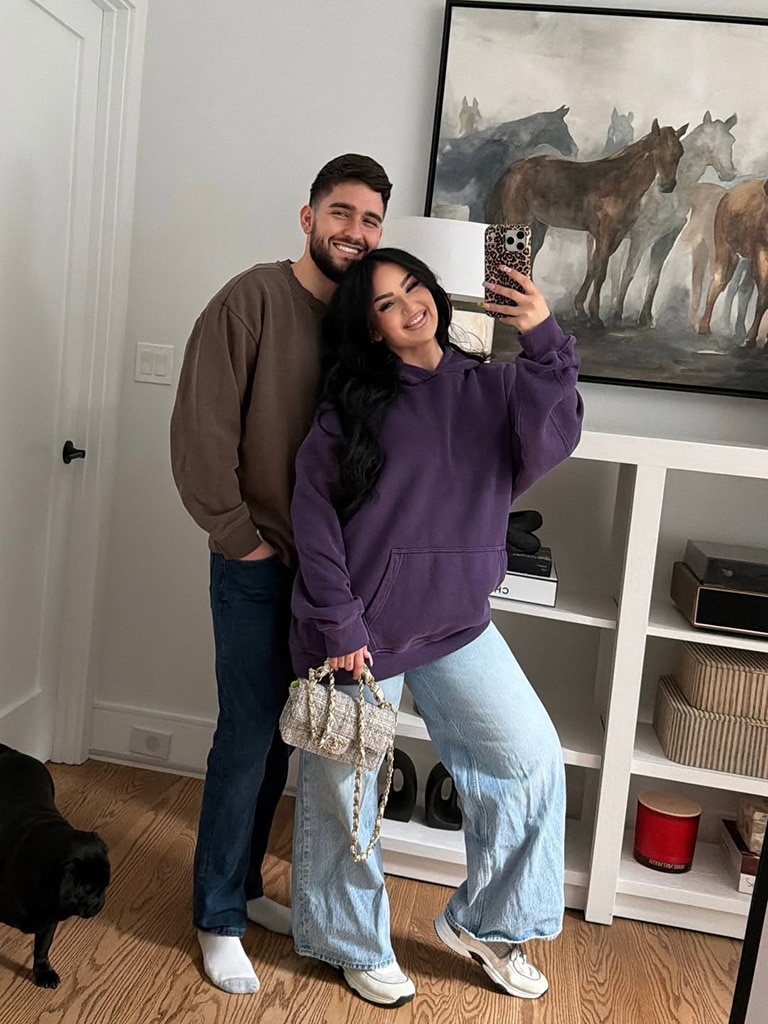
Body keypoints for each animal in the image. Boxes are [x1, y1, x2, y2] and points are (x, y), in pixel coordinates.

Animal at [0, 743, 110, 987]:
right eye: (86, 891)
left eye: (105, 886)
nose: (99, 901)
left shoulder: (49, 922)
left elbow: (42, 948)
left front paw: (43, 971)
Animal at [487, 119, 687, 327]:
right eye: (656, 150)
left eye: (679, 152)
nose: (667, 186)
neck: (619, 181)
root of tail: (515, 168)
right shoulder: (606, 233)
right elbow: (600, 272)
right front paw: (595, 317)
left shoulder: (615, 235)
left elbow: (593, 267)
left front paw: (581, 310)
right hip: (519, 220)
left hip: (539, 225)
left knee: (530, 255)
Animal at [612, 112, 737, 327]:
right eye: (708, 142)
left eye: (731, 140)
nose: (729, 173)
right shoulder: (640, 236)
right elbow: (630, 272)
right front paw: (617, 313)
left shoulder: (667, 237)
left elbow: (654, 277)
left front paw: (646, 318)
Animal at [698, 178, 768, 348]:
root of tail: (728, 195)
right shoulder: (760, 251)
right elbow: (763, 294)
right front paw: (750, 338)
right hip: (726, 249)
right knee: (720, 280)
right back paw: (704, 326)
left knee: (741, 287)